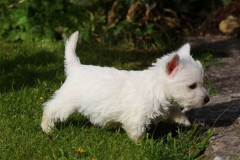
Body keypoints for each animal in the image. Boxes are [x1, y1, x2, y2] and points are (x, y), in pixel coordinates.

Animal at [41, 31, 210, 141]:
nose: (207, 99)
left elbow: (175, 112)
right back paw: (47, 127)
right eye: (192, 86)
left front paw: (184, 121)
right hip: (68, 101)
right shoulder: (136, 119)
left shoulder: (168, 105)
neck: (157, 89)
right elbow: (137, 132)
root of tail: (76, 67)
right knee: (50, 107)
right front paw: (143, 144)